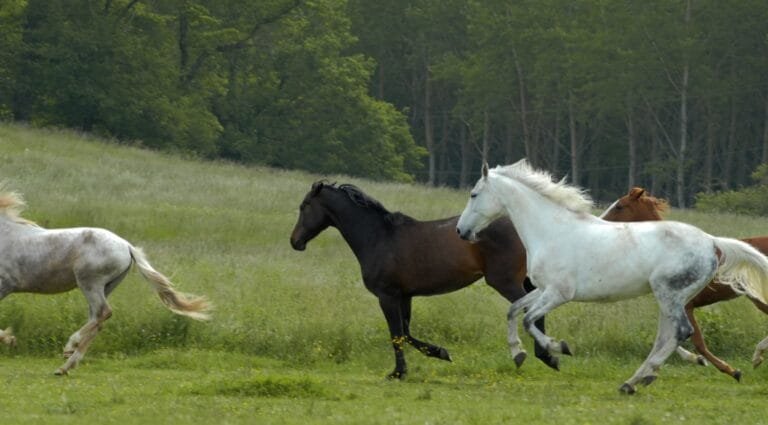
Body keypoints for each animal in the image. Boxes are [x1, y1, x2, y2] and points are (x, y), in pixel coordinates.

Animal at [0, 187, 212, 372]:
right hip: (106, 286)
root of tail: (127, 246)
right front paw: (11, 339)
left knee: (103, 313)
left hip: (89, 283)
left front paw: (10, 339)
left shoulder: (5, 285)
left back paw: (69, 348)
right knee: (97, 319)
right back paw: (66, 365)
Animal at [288, 179, 560, 378]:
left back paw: (543, 356)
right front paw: (441, 352)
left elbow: (396, 334)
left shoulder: (387, 296)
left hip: (505, 281)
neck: (378, 237)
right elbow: (406, 333)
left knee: (529, 310)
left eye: (304, 206)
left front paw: (398, 373)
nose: (295, 241)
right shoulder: (404, 295)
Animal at [600, 187, 768, 380]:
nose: (599, 221)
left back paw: (757, 356)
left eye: (619, 206)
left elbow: (695, 341)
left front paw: (731, 370)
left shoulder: (686, 305)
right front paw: (696, 360)